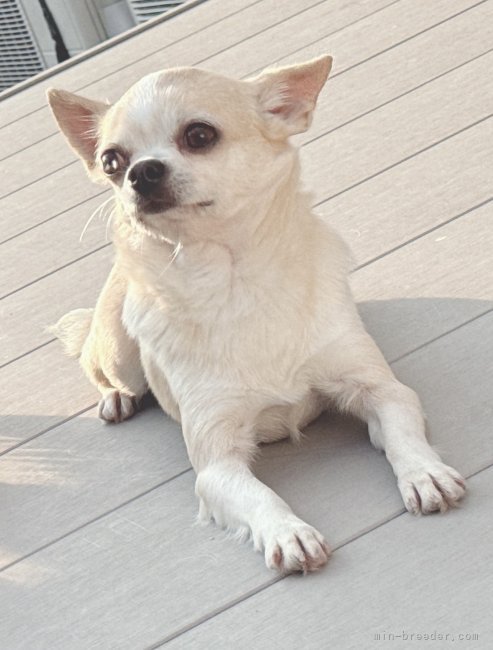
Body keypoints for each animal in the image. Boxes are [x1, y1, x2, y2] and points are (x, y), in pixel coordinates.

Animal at [47, 56, 466, 573]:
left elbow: (402, 431)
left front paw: (425, 473)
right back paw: (115, 399)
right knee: (98, 367)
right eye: (111, 162)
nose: (139, 173)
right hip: (118, 354)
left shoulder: (383, 391)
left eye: (199, 135)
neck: (235, 281)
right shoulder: (217, 463)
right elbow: (258, 495)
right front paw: (288, 532)